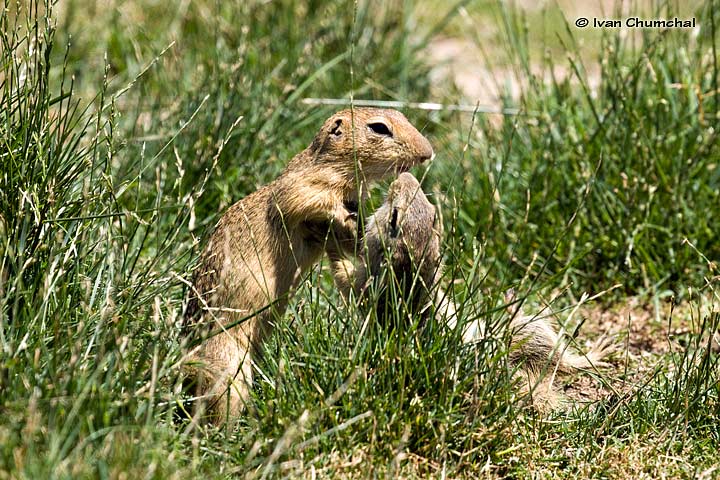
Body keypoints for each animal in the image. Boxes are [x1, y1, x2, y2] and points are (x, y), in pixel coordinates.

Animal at [186, 109, 434, 424]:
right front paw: (341, 220)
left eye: (400, 114)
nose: (428, 152)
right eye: (379, 128)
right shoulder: (304, 185)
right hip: (228, 368)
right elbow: (302, 201)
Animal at [334, 172, 612, 408]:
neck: (411, 280)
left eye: (394, 216)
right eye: (434, 214)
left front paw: (336, 257)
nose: (405, 175)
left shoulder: (369, 287)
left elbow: (348, 282)